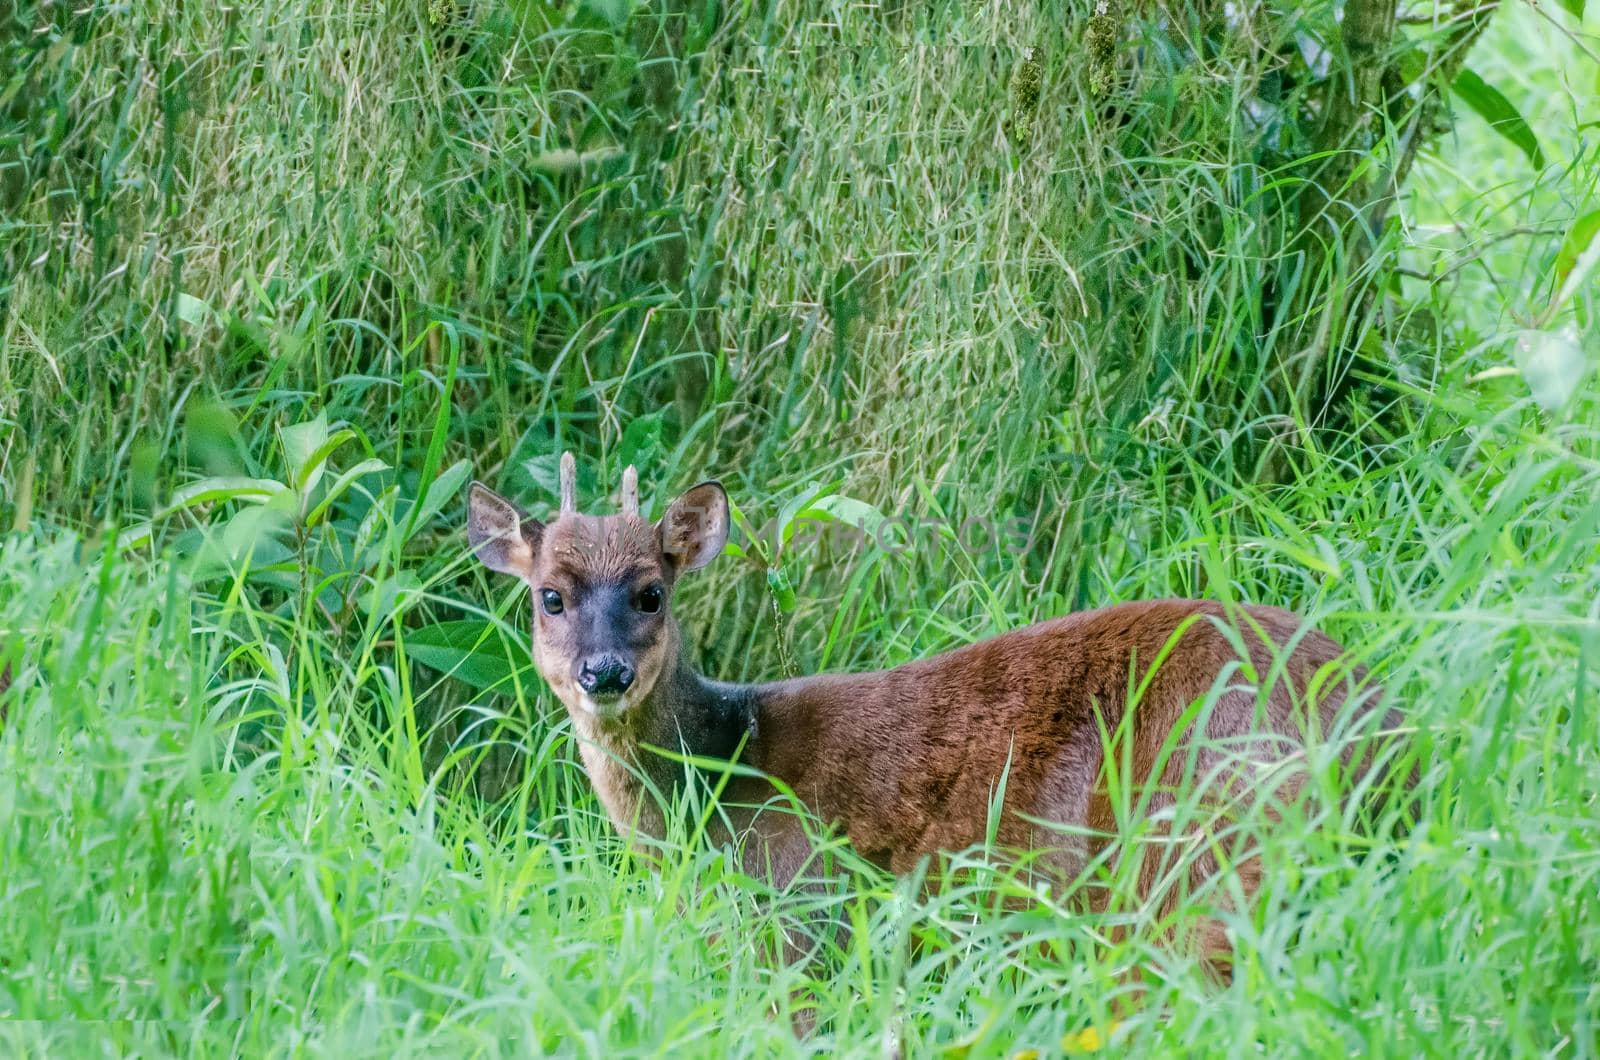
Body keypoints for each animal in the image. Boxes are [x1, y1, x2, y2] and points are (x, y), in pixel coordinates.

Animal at [464, 451, 1401, 973]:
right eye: (551, 595)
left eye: (651, 592)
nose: (604, 672)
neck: (729, 775)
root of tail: (1385, 729)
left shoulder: (802, 919)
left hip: (1196, 852)